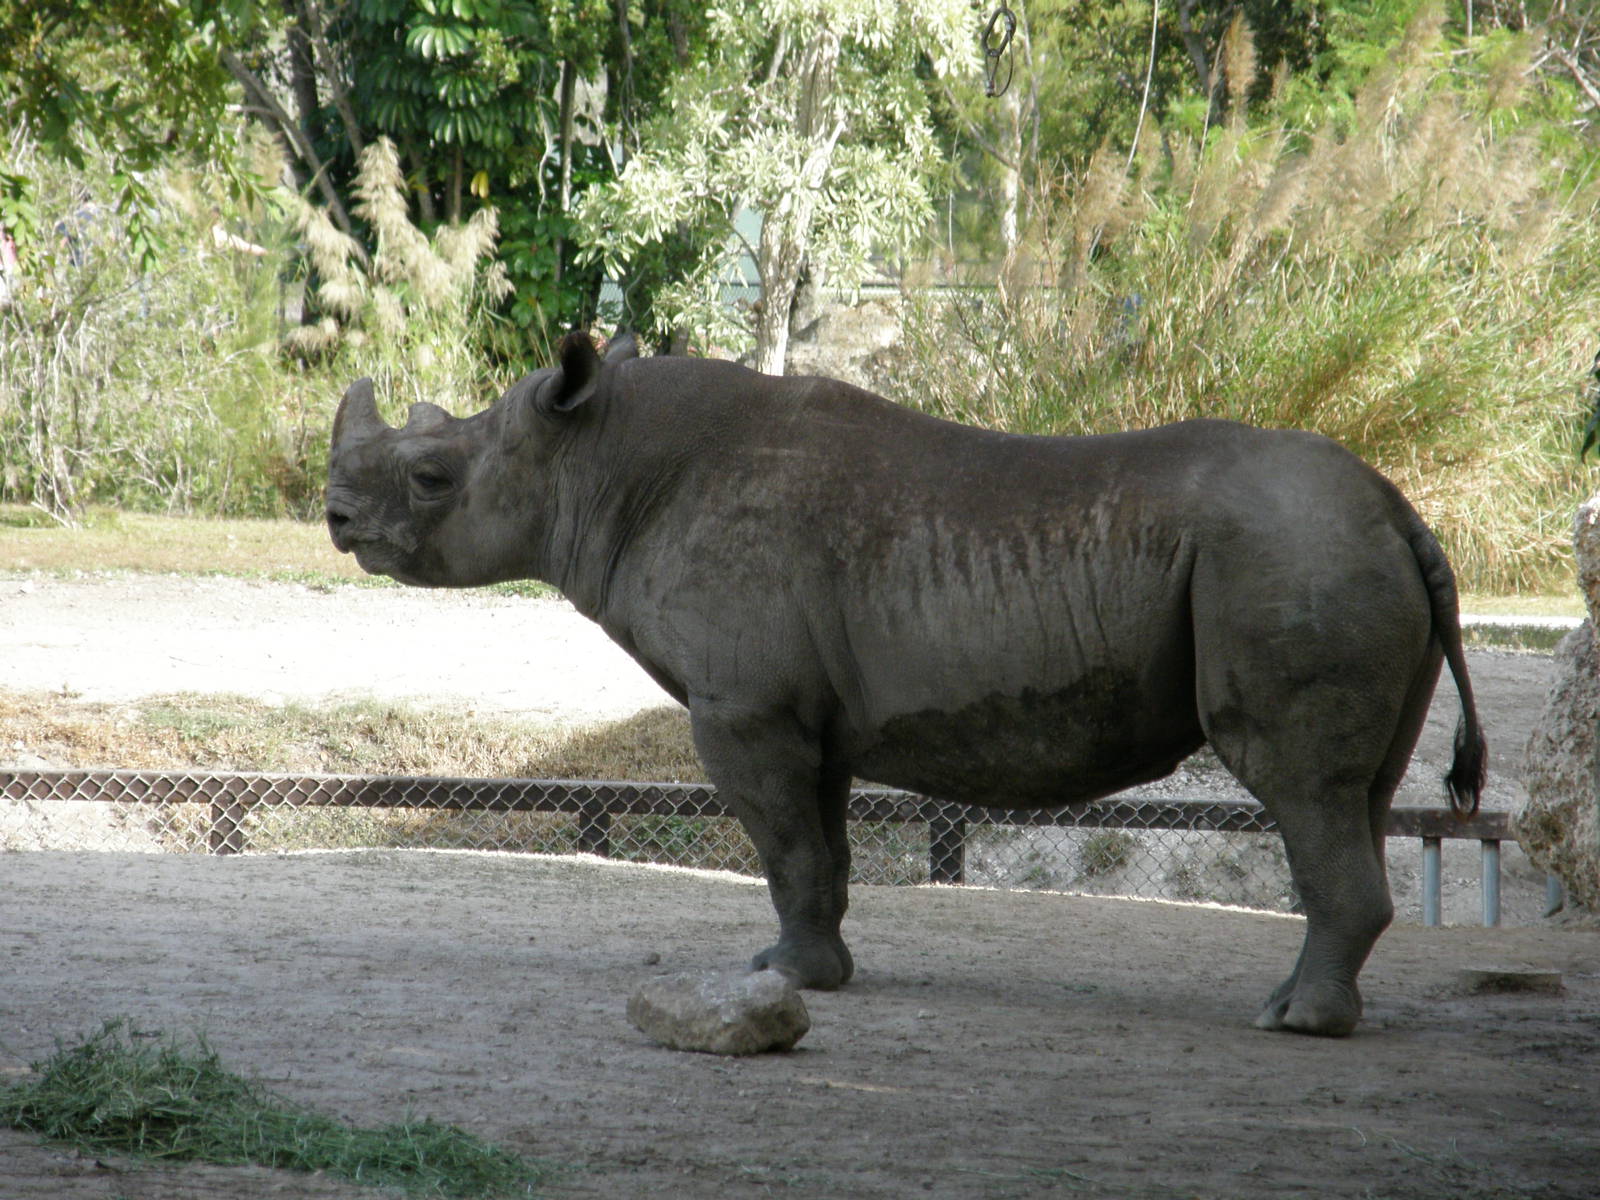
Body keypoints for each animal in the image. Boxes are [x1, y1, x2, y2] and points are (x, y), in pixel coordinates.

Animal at [326, 330, 1486, 1037]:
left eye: (431, 478)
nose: (334, 518)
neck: (598, 459)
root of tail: (1398, 509)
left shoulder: (743, 710)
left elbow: (784, 847)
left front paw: (786, 981)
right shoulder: (804, 712)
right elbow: (820, 852)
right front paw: (809, 972)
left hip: (1290, 552)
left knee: (1299, 787)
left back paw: (1295, 1024)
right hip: (1328, 551)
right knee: (1355, 794)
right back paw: (1299, 1003)